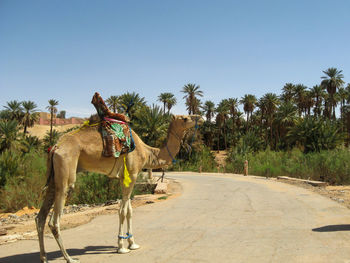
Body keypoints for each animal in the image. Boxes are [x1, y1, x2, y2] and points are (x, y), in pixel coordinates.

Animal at [34, 114, 205, 262]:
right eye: (185, 118)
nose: (201, 118)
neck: (147, 152)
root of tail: (55, 148)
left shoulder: (124, 178)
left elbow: (129, 210)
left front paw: (132, 243)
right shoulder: (132, 174)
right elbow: (122, 211)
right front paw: (121, 247)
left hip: (54, 177)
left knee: (40, 217)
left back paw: (44, 258)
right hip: (66, 172)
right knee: (54, 220)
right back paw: (69, 258)